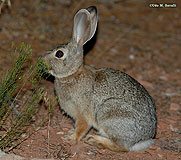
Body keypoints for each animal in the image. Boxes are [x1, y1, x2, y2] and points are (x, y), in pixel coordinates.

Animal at [43, 5, 157, 152]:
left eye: (59, 54)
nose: (43, 61)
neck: (73, 74)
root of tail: (142, 140)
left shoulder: (83, 114)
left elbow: (81, 128)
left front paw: (70, 138)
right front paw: (69, 133)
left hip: (109, 112)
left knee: (122, 147)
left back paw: (95, 140)